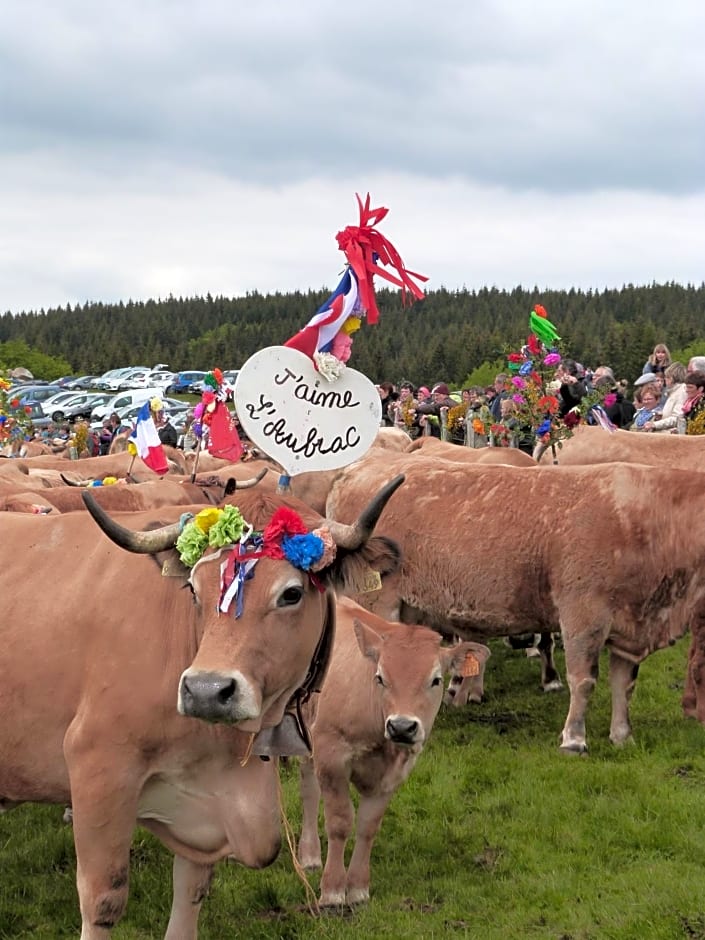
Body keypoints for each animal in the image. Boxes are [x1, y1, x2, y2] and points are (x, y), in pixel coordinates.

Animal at [0, 482, 402, 936]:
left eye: (292, 593)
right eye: (193, 588)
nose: (207, 691)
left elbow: (192, 891)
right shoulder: (98, 766)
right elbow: (103, 898)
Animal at [294, 600, 486, 908]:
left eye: (436, 680)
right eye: (380, 677)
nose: (402, 727)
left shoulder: (394, 773)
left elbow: (368, 825)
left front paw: (358, 889)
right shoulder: (331, 756)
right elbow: (339, 822)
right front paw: (333, 890)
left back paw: (309, 855)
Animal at [324, 452, 704, 752]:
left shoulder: (629, 623)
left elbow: (624, 684)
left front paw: (623, 736)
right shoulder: (582, 615)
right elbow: (583, 679)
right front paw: (574, 738)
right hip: (375, 600)